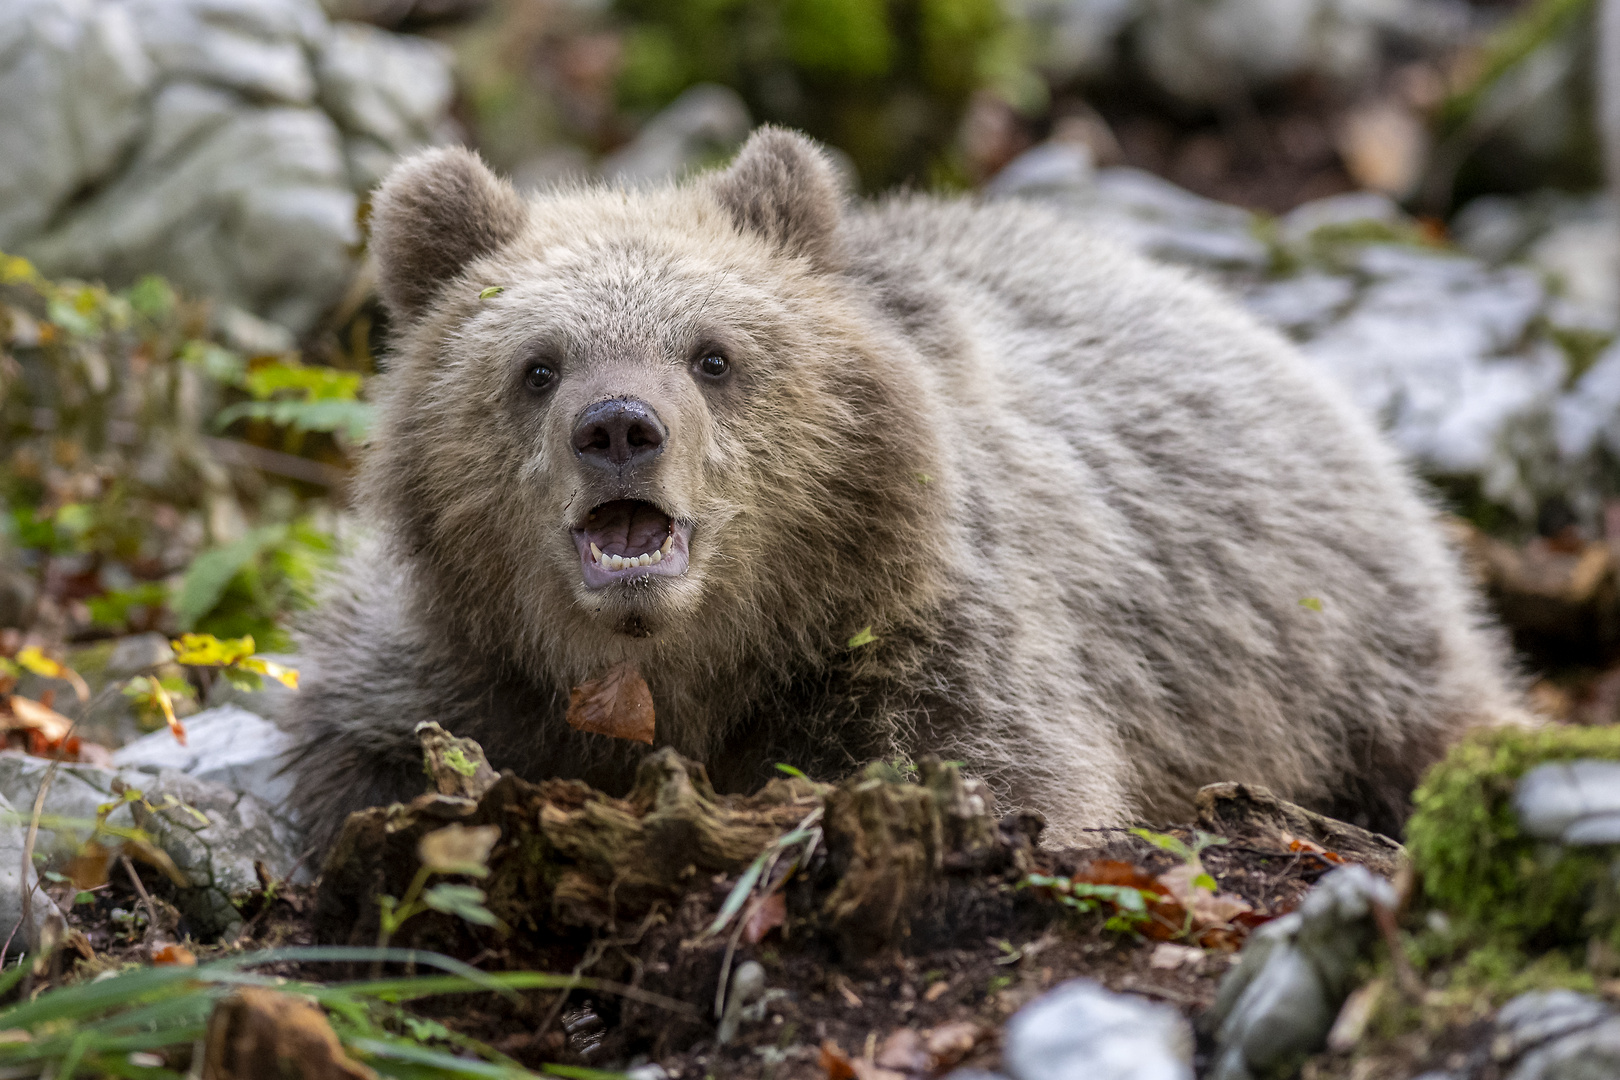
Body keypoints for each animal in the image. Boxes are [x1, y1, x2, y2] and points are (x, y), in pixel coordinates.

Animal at [281, 124, 1529, 854]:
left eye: (712, 355)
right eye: (538, 364)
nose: (620, 428)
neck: (674, 675)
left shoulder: (922, 651)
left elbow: (1006, 776)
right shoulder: (461, 668)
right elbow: (370, 752)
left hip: (1328, 628)